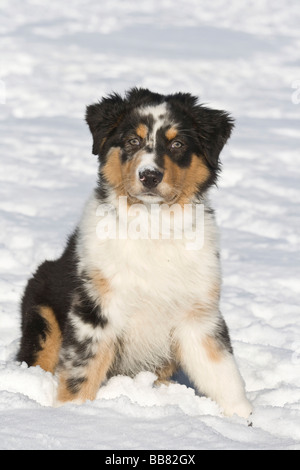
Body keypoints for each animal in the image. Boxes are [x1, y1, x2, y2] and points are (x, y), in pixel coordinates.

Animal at [17, 88, 253, 418]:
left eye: (177, 144)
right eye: (132, 141)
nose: (150, 176)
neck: (152, 227)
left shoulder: (198, 315)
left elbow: (223, 371)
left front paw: (244, 419)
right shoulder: (96, 309)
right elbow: (82, 371)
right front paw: (73, 414)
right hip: (43, 312)